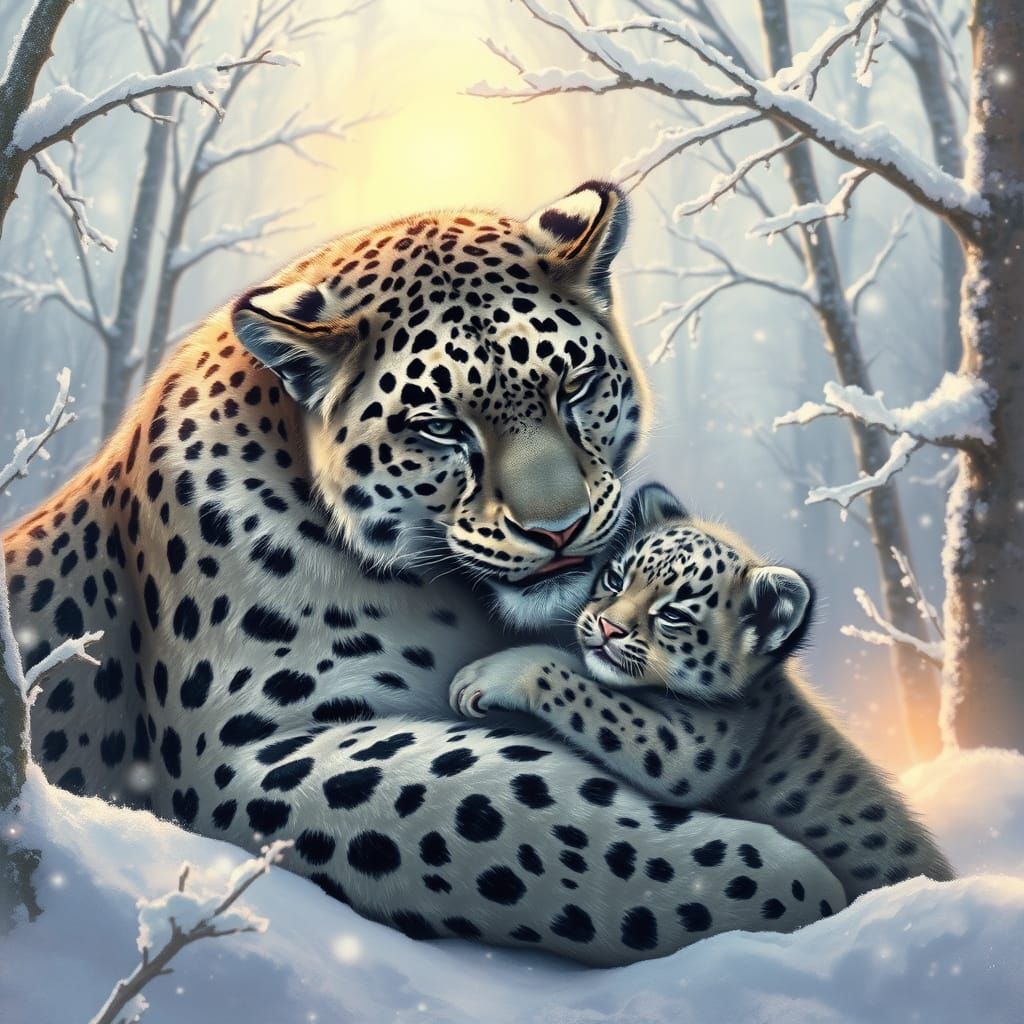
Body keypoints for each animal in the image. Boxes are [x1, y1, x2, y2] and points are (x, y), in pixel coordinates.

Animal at [3, 181, 846, 966]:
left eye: (574, 387)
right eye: (440, 427)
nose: (559, 530)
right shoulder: (238, 754)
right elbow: (518, 813)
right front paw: (793, 888)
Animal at [451, 482, 954, 905]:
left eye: (673, 614)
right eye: (615, 579)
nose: (607, 627)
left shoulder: (692, 748)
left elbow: (590, 695)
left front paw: (490, 674)